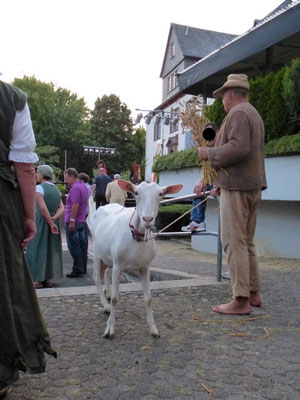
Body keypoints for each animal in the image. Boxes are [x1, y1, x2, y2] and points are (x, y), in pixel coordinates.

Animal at [86, 180, 180, 338]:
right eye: (136, 192)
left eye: (160, 194)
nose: (147, 219)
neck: (136, 236)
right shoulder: (118, 265)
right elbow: (116, 298)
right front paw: (110, 328)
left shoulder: (145, 267)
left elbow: (148, 298)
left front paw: (153, 328)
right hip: (97, 252)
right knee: (97, 278)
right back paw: (105, 306)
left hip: (109, 257)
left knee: (106, 272)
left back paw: (108, 293)